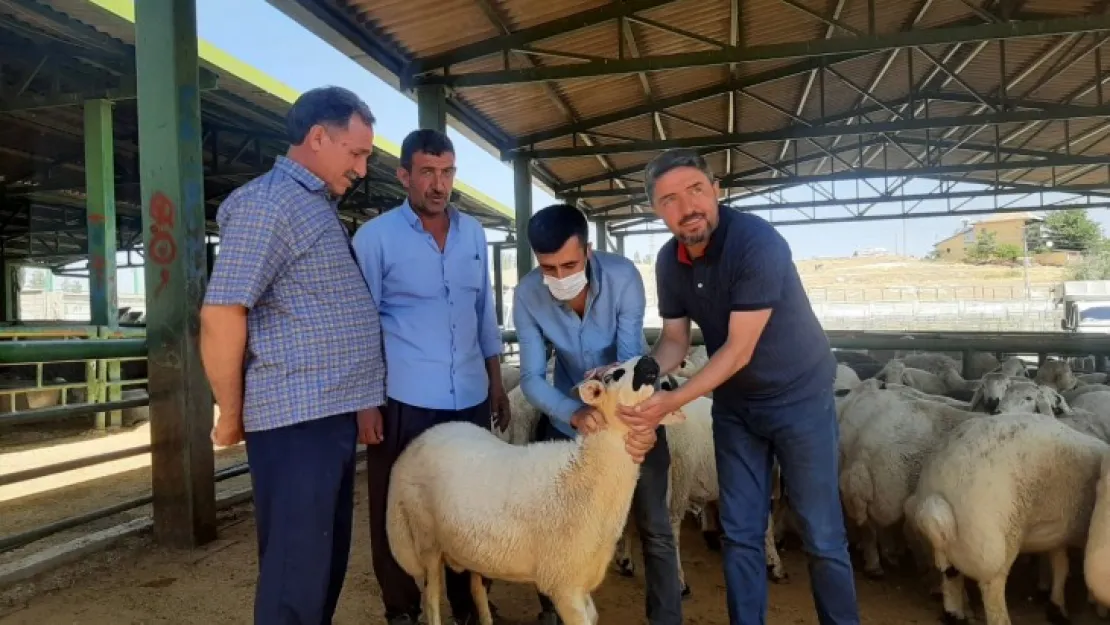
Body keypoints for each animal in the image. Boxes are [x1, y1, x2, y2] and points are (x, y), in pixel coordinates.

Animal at [386, 357, 679, 625]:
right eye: (613, 375)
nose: (649, 361)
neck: (585, 474)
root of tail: (421, 440)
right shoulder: (564, 585)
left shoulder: (579, 581)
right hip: (426, 539)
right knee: (432, 599)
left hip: (472, 547)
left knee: (476, 588)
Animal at [901, 410, 1110, 625]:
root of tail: (937, 493)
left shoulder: (1059, 536)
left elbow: (1061, 566)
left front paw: (1057, 606)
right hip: (994, 544)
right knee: (992, 590)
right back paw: (1000, 619)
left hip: (951, 546)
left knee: (950, 576)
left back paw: (954, 614)